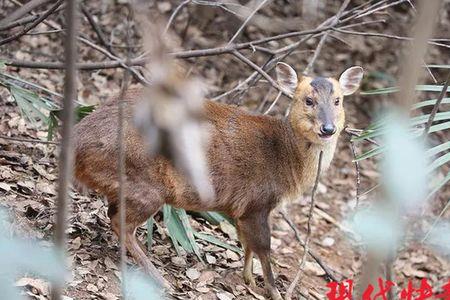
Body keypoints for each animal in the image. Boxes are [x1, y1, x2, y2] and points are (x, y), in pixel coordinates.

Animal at [73, 62, 362, 298]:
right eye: (308, 100)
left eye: (338, 100)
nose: (328, 129)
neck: (287, 158)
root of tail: (78, 142)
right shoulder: (258, 202)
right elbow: (264, 248)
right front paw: (274, 292)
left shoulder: (241, 209)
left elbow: (246, 244)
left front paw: (249, 281)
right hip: (146, 185)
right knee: (121, 223)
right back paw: (159, 278)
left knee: (113, 215)